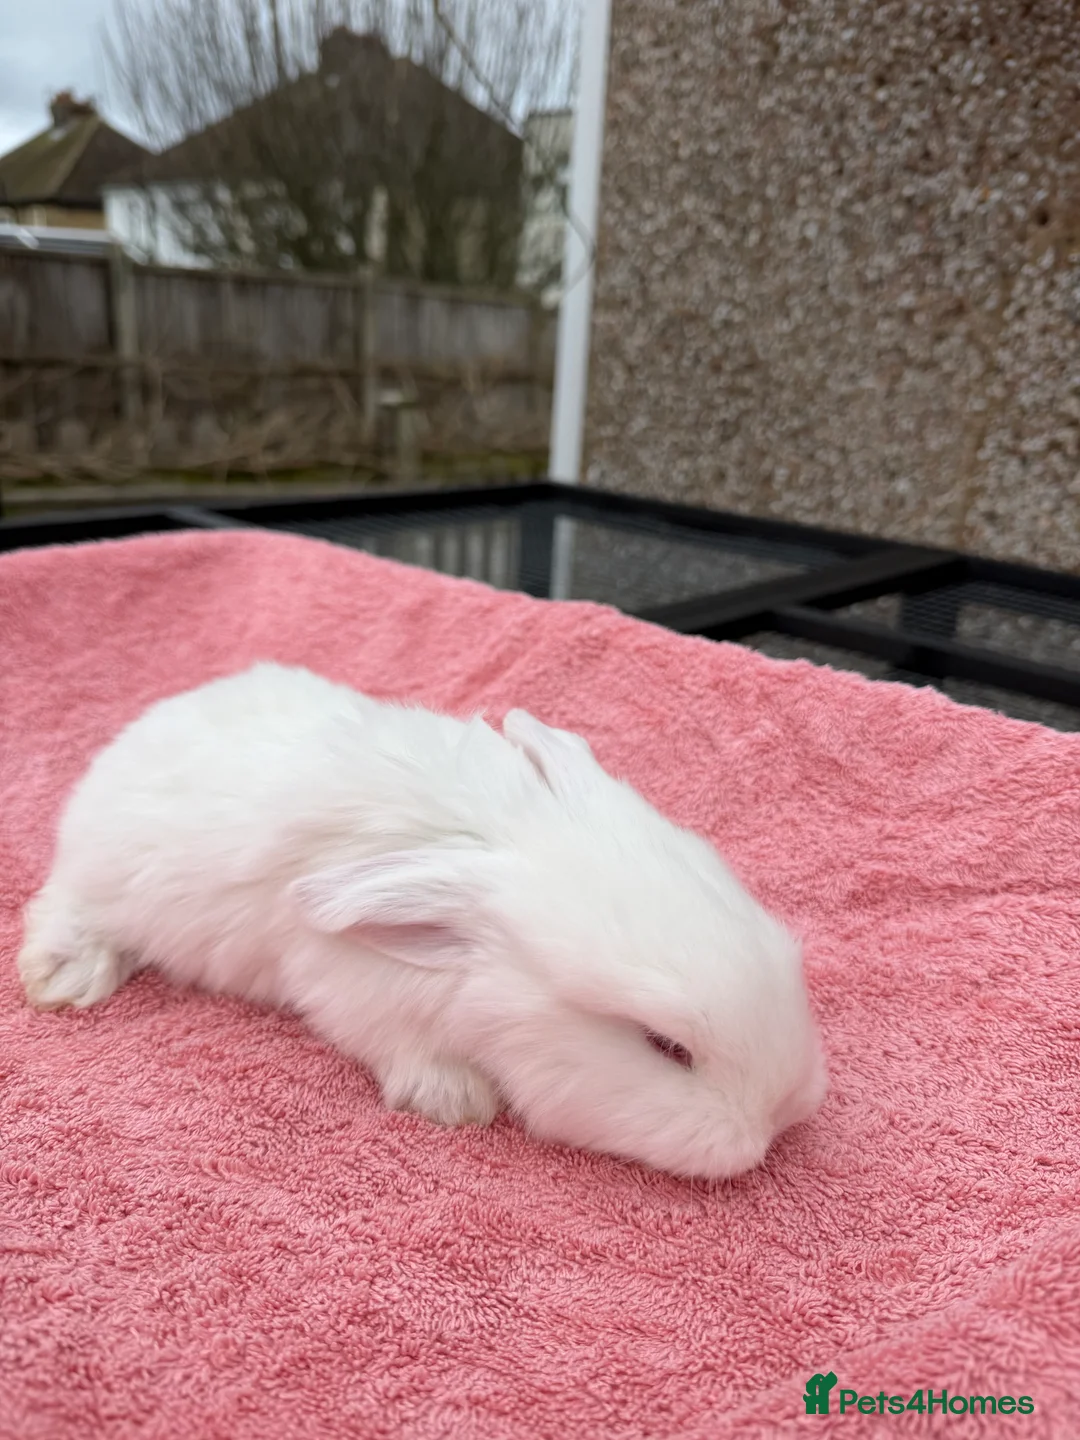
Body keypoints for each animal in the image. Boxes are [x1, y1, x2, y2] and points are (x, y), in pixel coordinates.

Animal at [17, 661, 827, 1180]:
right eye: (665, 1046)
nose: (778, 1118)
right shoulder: (346, 986)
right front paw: (458, 1103)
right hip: (107, 880)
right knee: (65, 906)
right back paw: (63, 977)